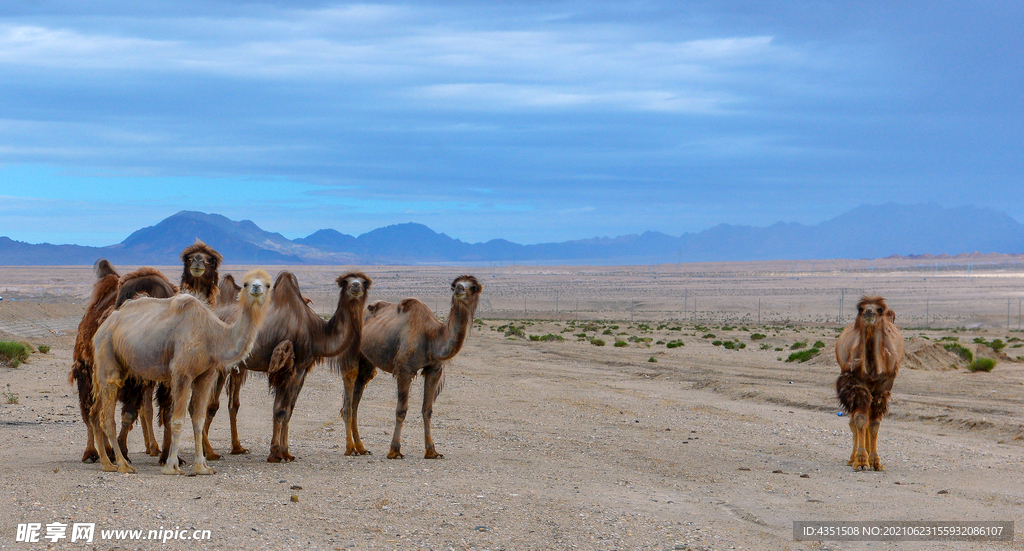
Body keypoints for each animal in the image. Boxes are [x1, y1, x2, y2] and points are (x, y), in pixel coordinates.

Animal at [69, 259, 177, 460]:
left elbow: (166, 412)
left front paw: (169, 456)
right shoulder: (130, 379)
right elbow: (127, 413)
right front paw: (121, 450)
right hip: (86, 372)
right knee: (89, 409)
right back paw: (92, 452)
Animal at [90, 266, 272, 471]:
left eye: (268, 284)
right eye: (246, 283)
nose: (256, 288)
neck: (213, 335)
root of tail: (102, 326)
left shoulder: (206, 374)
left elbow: (199, 419)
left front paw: (201, 468)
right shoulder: (182, 373)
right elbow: (177, 420)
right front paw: (171, 466)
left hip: (120, 365)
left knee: (95, 411)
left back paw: (106, 463)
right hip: (106, 351)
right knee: (108, 415)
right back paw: (122, 464)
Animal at [195, 268, 372, 458]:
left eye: (364, 282)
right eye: (345, 282)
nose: (355, 286)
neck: (315, 332)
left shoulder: (301, 369)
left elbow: (288, 410)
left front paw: (286, 452)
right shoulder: (286, 368)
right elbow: (279, 410)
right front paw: (275, 454)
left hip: (236, 367)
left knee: (231, 405)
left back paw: (236, 448)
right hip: (218, 363)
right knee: (209, 404)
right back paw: (209, 452)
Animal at [344, 272, 483, 456]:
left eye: (473, 287)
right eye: (455, 284)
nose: (460, 289)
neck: (432, 336)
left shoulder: (434, 370)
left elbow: (428, 409)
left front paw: (432, 451)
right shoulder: (405, 369)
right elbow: (401, 410)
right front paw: (395, 451)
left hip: (367, 362)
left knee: (357, 395)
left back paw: (361, 448)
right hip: (353, 352)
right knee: (349, 387)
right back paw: (350, 449)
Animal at [831, 292, 905, 469]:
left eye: (880, 309)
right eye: (860, 308)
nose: (869, 312)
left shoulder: (884, 387)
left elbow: (874, 424)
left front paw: (876, 461)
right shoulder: (857, 384)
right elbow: (860, 420)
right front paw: (861, 461)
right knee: (855, 421)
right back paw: (852, 459)